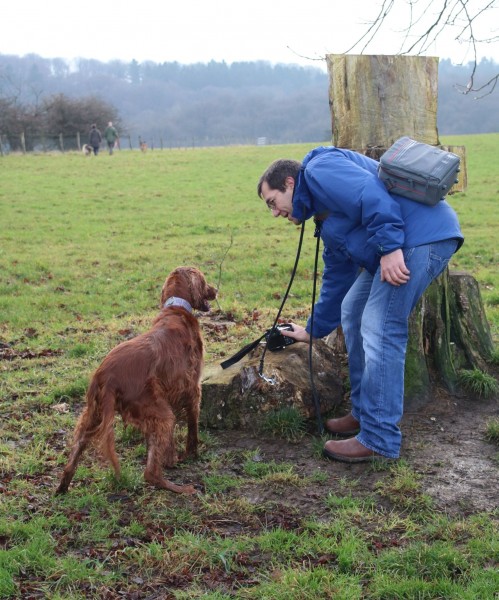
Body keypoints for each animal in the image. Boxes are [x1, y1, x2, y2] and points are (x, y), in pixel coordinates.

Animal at [56, 267, 217, 495]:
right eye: (204, 281)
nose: (215, 290)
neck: (176, 308)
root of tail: (106, 375)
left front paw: (170, 459)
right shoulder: (193, 389)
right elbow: (193, 428)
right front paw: (191, 454)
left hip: (93, 414)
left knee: (74, 453)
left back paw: (62, 488)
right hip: (161, 414)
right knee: (150, 474)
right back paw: (181, 488)